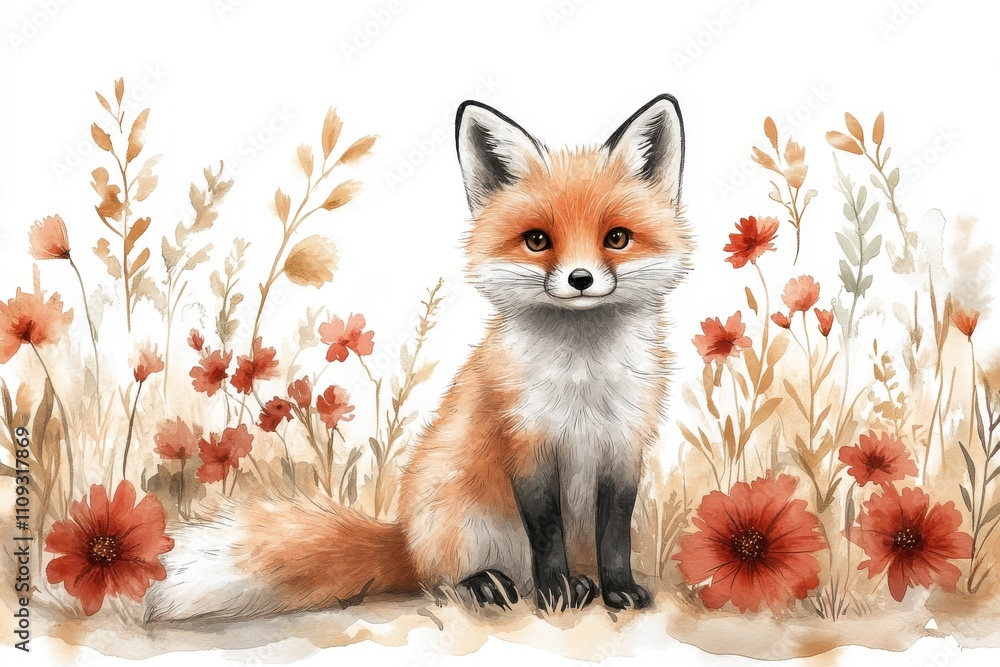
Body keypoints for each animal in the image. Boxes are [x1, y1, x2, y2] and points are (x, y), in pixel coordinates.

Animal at [145, 94, 693, 621]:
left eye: (616, 238)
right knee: (444, 579)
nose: (581, 279)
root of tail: (406, 540)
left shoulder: (624, 447)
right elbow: (547, 534)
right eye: (538, 240)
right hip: (463, 524)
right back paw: (495, 585)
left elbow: (616, 536)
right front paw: (554, 594)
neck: (583, 380)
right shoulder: (525, 446)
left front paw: (618, 592)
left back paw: (581, 584)